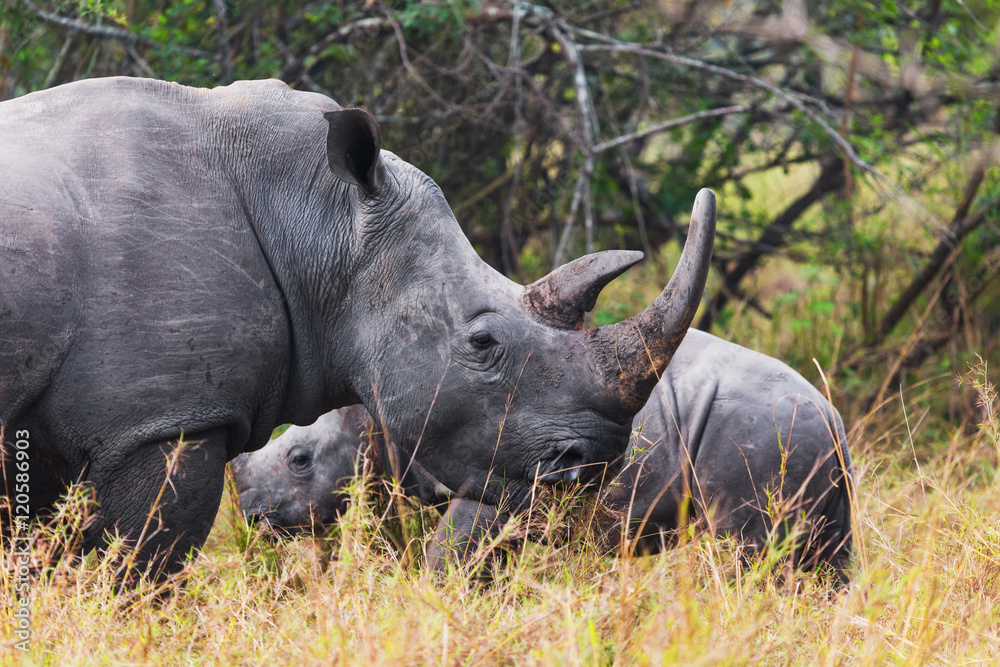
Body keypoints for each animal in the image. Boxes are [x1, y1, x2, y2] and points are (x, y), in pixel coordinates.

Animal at [233, 329, 854, 581]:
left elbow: (447, 555)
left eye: (300, 460)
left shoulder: (491, 479)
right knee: (827, 557)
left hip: (763, 434)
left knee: (743, 556)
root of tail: (833, 416)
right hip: (808, 445)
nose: (251, 514)